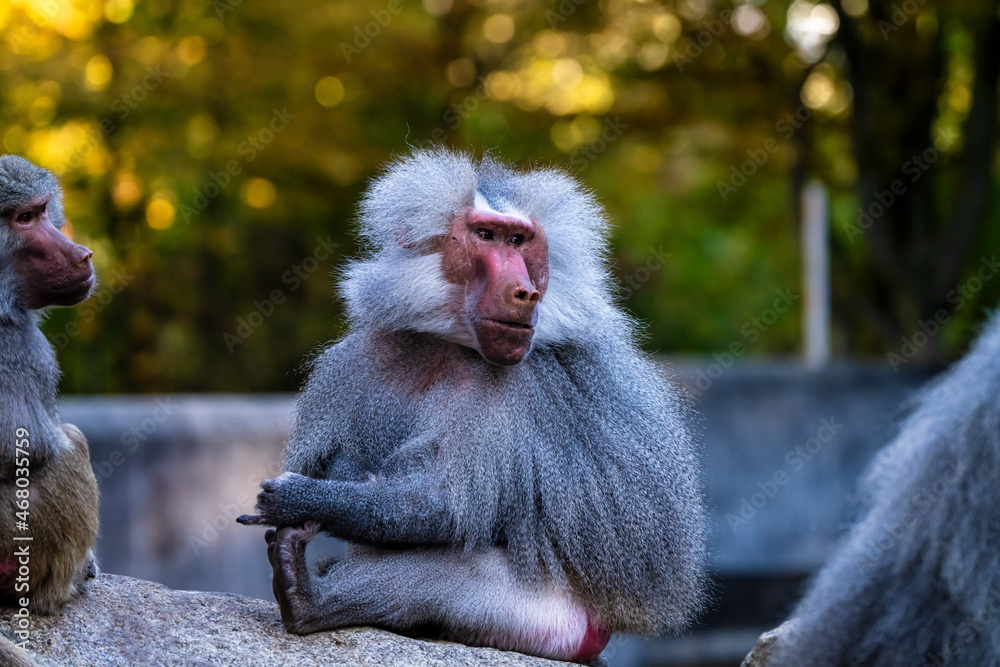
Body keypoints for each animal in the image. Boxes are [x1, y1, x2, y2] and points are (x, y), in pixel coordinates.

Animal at [238, 148, 708, 663]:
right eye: (486, 236)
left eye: (519, 241)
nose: (526, 292)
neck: (449, 345)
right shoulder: (357, 362)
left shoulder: (508, 387)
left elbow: (443, 505)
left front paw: (300, 498)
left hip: (554, 623)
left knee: (444, 569)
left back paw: (308, 598)